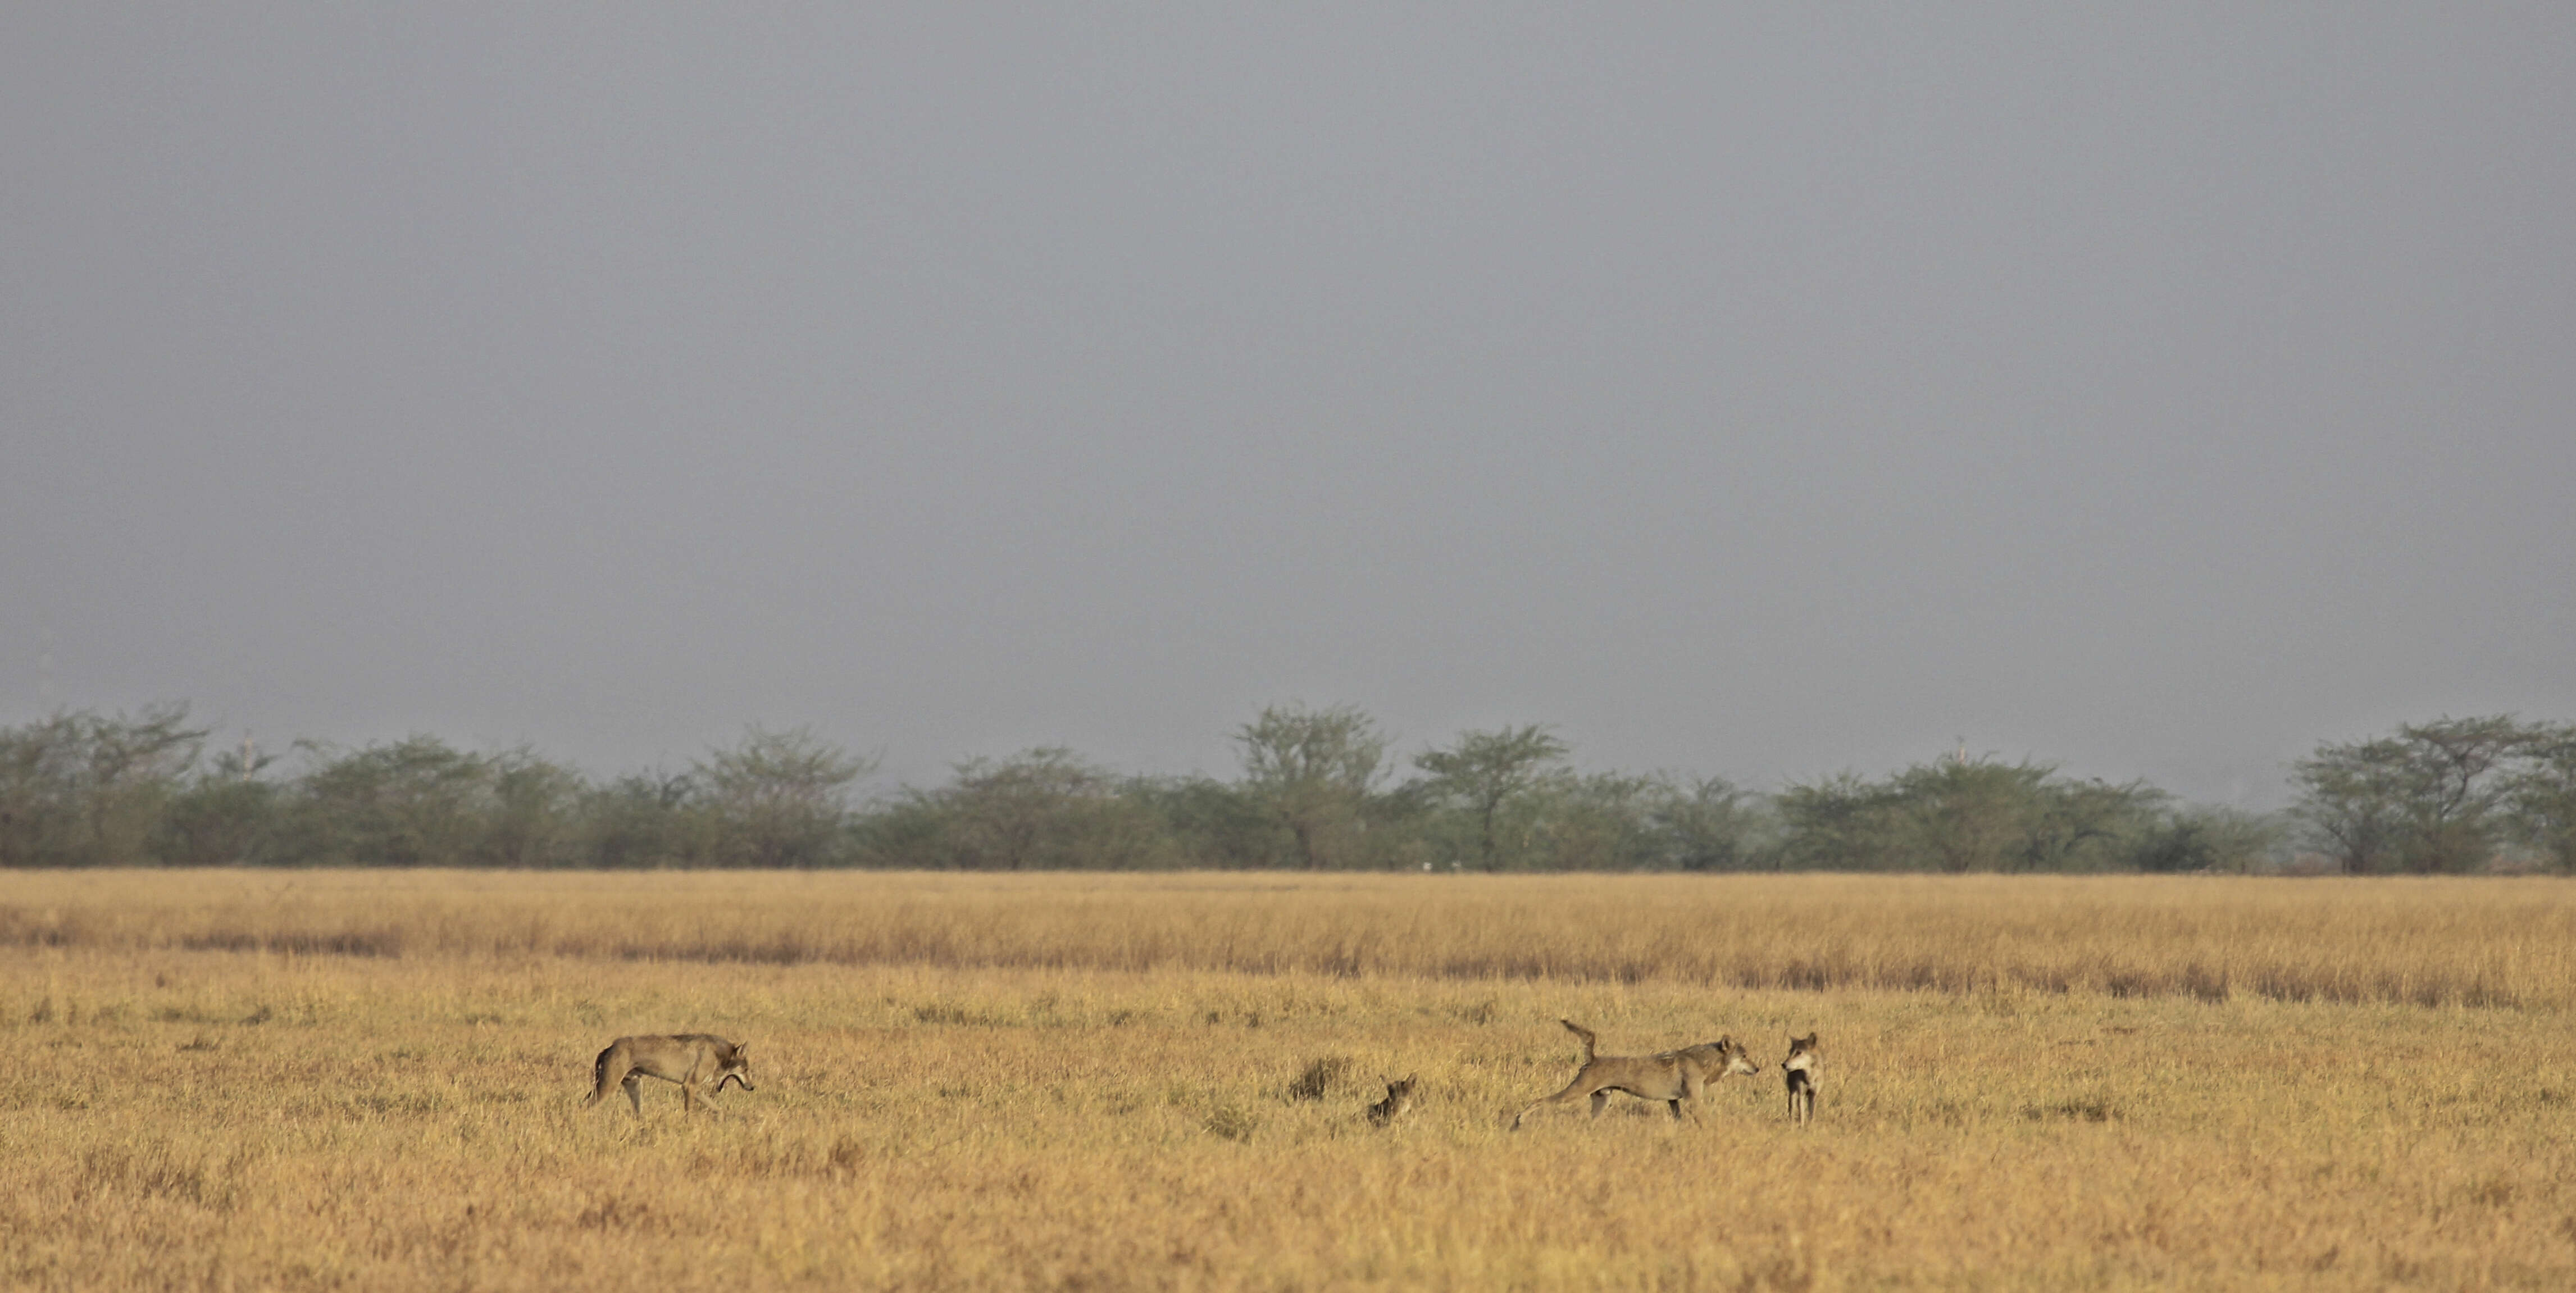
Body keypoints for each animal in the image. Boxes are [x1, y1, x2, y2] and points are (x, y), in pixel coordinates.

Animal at [579, 1035, 752, 1118]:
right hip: (607, 1089)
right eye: (745, 1070)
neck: (717, 1054)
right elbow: (689, 1115)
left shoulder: (696, 1090)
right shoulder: (689, 1087)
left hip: (635, 1088)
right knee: (585, 1107)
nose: (752, 1087)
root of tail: (609, 1048)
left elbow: (720, 1111)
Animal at [1504, 1019, 1772, 1133]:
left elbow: (1678, 1121)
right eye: (1745, 1056)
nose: (1758, 1069)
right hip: (1574, 1094)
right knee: (1539, 1101)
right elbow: (1705, 1122)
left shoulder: (1673, 1102)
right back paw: (1518, 1122)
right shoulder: (1693, 1101)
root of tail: (1594, 1058)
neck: (1703, 1062)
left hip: (1602, 1102)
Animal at [1782, 1035, 1823, 1128]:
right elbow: (1802, 1114)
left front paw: (1811, 1126)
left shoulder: (1814, 1094)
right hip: (1793, 1093)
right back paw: (1792, 1124)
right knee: (1792, 1109)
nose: (1784, 1065)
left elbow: (1812, 1114)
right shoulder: (1801, 1094)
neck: (1810, 1077)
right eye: (1790, 1052)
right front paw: (1802, 1126)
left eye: (1799, 1052)